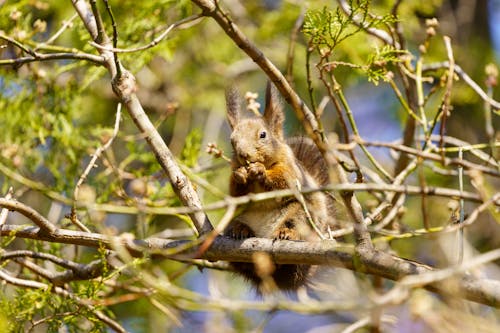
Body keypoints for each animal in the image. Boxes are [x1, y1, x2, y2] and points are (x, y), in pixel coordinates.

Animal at [224, 82, 336, 290]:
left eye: (263, 135)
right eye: (232, 141)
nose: (243, 154)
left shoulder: (291, 171)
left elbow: (283, 181)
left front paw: (259, 171)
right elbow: (236, 193)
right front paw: (240, 175)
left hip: (302, 213)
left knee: (296, 224)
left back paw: (286, 232)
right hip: (238, 217)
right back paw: (240, 231)